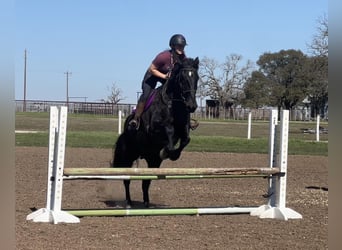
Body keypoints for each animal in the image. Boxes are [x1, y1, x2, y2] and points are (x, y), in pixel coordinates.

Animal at [112, 56, 199, 207]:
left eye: (197, 78)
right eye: (182, 79)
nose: (192, 106)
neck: (174, 104)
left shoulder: (184, 129)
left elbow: (185, 140)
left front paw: (172, 154)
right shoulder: (155, 129)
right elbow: (168, 132)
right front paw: (167, 151)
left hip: (153, 161)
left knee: (146, 182)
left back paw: (147, 203)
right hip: (128, 156)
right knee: (127, 179)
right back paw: (128, 202)